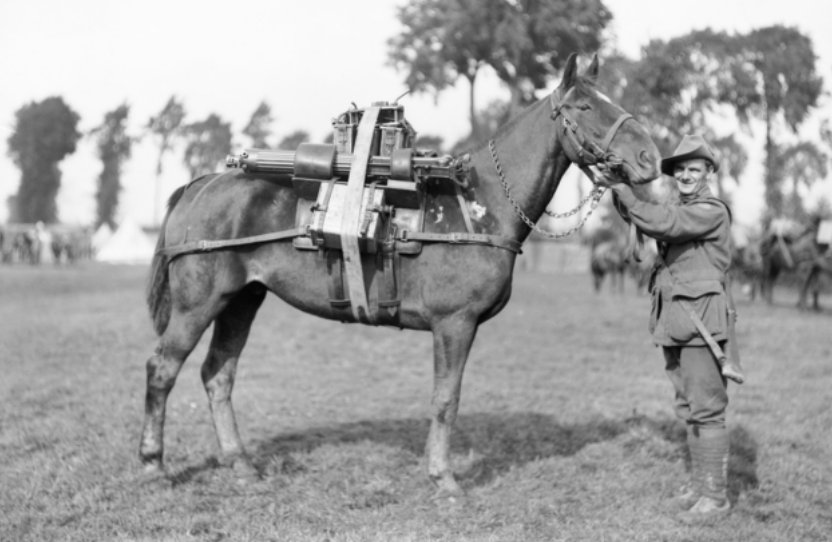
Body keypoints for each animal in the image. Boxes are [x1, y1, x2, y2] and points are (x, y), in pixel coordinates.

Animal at [143, 54, 664, 498]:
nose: (649, 159)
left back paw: (241, 465)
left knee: (218, 375)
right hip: (198, 304)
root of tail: (201, 184)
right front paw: (444, 479)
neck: (480, 205)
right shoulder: (454, 324)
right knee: (162, 370)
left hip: (241, 301)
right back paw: (154, 466)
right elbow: (446, 399)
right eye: (584, 106)